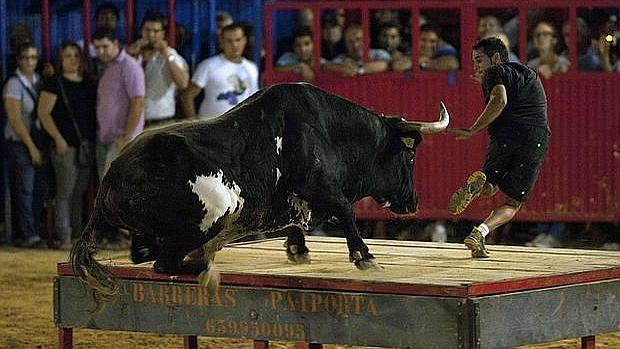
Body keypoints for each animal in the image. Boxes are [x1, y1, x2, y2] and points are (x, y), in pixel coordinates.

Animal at [71, 81, 450, 300]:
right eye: (410, 155)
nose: (413, 202)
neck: (328, 128)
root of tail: (110, 179)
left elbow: (298, 217)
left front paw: (297, 248)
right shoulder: (318, 184)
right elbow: (345, 210)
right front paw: (365, 256)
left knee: (147, 255)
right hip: (214, 212)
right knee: (166, 262)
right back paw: (207, 268)